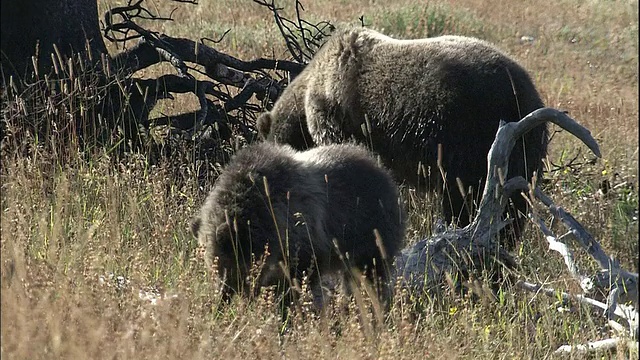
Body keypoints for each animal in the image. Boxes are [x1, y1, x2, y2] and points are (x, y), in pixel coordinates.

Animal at [191, 142, 404, 306]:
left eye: (224, 267)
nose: (223, 297)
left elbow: (297, 279)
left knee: (370, 275)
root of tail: (384, 172)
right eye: (212, 268)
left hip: (369, 231)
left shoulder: (302, 236)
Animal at [258, 27, 548, 248]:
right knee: (512, 206)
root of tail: (526, 94)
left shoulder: (338, 118)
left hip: (470, 138)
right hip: (520, 148)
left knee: (466, 198)